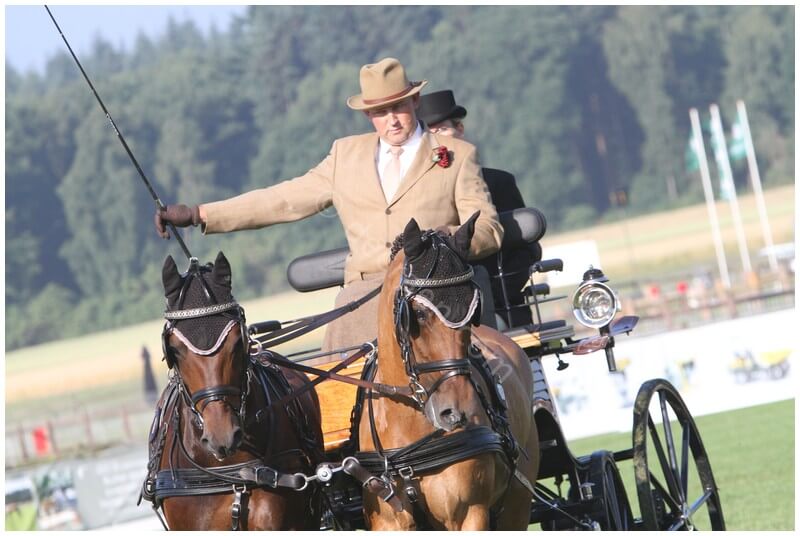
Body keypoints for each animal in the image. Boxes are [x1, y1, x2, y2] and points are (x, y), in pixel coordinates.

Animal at [356, 213, 540, 530]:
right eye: (418, 314)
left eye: (473, 311)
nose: (456, 412)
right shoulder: (388, 519)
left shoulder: (469, 513)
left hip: (517, 501)